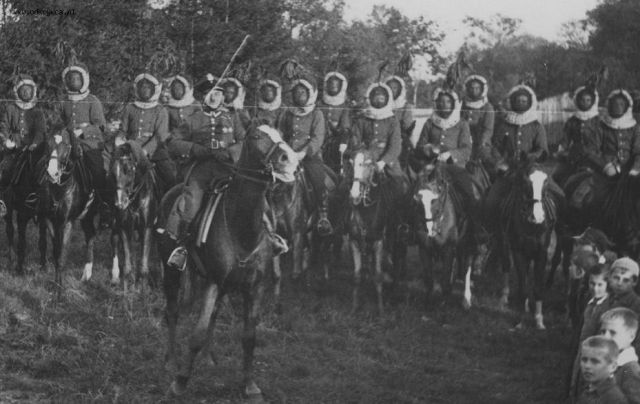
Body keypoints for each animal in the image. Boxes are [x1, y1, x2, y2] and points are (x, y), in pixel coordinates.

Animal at [0, 143, 49, 274]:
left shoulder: (43, 218)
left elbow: (42, 242)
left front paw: (43, 266)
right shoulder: (21, 216)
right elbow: (21, 243)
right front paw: (19, 270)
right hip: (8, 208)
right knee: (10, 230)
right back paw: (11, 257)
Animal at [43, 129, 100, 287]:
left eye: (66, 145)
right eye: (48, 143)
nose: (52, 173)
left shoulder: (67, 223)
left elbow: (62, 255)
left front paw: (59, 289)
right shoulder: (50, 221)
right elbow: (56, 254)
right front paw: (56, 285)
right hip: (87, 216)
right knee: (90, 236)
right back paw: (86, 275)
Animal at [108, 139, 162, 292]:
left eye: (128, 170)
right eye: (112, 172)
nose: (120, 203)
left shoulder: (147, 228)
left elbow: (143, 266)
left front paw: (143, 292)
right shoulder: (123, 227)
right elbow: (127, 265)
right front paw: (126, 293)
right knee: (116, 244)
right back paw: (117, 278)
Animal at [158, 124, 299, 398]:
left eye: (279, 133)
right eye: (256, 136)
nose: (290, 159)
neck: (240, 226)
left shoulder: (254, 287)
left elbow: (249, 337)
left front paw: (249, 385)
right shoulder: (213, 282)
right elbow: (197, 334)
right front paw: (180, 382)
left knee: (212, 316)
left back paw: (208, 357)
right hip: (171, 272)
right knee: (173, 310)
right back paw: (170, 360)